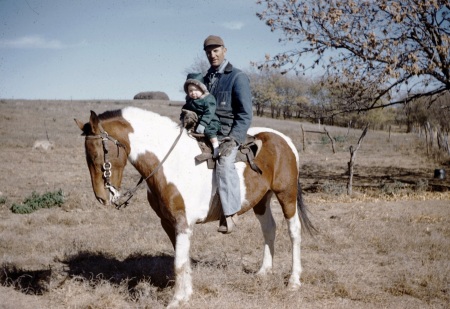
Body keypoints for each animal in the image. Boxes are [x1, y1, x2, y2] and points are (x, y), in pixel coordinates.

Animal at [75, 106, 314, 308]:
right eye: (86, 156)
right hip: (262, 201)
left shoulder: (183, 223)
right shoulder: (168, 223)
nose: (102, 197)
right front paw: (186, 294)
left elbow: (179, 262)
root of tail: (285, 140)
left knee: (294, 232)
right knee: (269, 229)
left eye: (98, 154)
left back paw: (294, 281)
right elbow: (182, 259)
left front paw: (177, 300)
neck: (171, 164)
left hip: (286, 195)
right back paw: (264, 271)